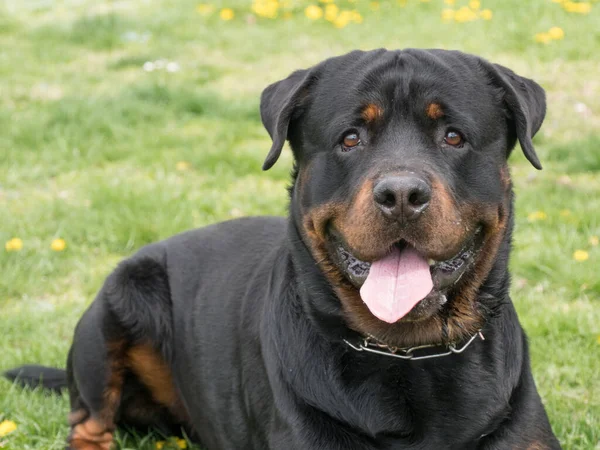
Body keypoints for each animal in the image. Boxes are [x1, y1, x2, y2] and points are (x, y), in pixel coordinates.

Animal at [4, 47, 560, 448]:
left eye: (453, 136)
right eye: (350, 138)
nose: (401, 194)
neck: (407, 352)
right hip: (117, 304)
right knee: (89, 421)